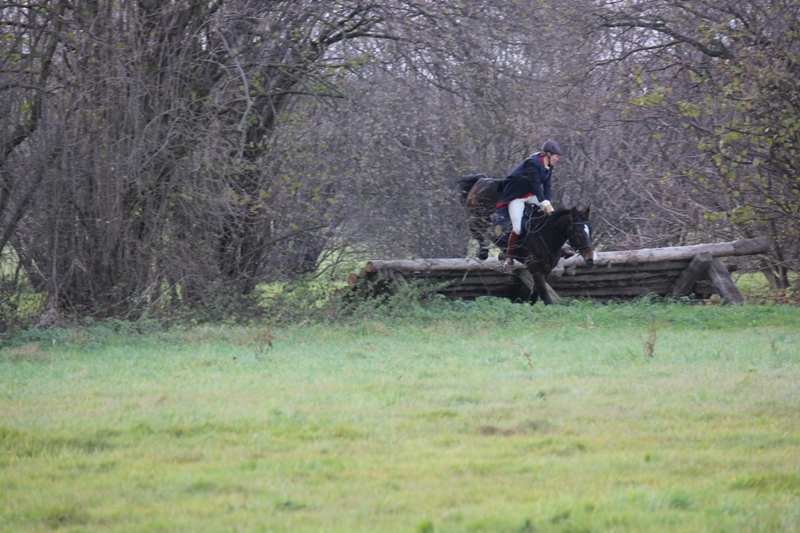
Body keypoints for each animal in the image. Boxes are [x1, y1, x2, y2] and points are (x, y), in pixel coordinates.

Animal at [457, 174, 596, 305]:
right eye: (578, 233)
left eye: (590, 230)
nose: (591, 258)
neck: (547, 235)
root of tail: (481, 181)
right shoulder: (535, 269)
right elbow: (546, 298)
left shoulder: (547, 270)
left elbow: (534, 297)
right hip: (474, 220)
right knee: (478, 235)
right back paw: (486, 253)